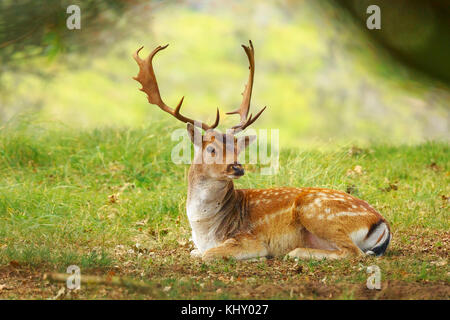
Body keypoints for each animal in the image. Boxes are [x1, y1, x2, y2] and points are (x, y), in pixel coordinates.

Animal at [133, 40, 390, 260]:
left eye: (237, 149)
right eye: (212, 150)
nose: (236, 168)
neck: (205, 230)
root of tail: (381, 222)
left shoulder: (249, 238)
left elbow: (210, 255)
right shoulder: (197, 246)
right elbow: (195, 252)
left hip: (317, 213)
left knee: (353, 252)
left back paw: (296, 252)